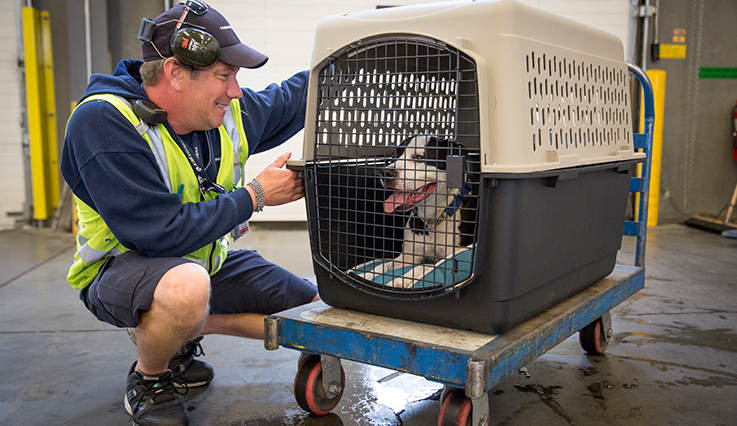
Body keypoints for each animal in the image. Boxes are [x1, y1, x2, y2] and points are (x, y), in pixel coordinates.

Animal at [360, 135, 474, 288]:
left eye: (419, 157)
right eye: (393, 156)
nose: (385, 172)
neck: (432, 218)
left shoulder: (450, 258)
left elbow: (425, 266)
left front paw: (400, 280)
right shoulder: (408, 257)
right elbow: (384, 265)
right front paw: (365, 275)